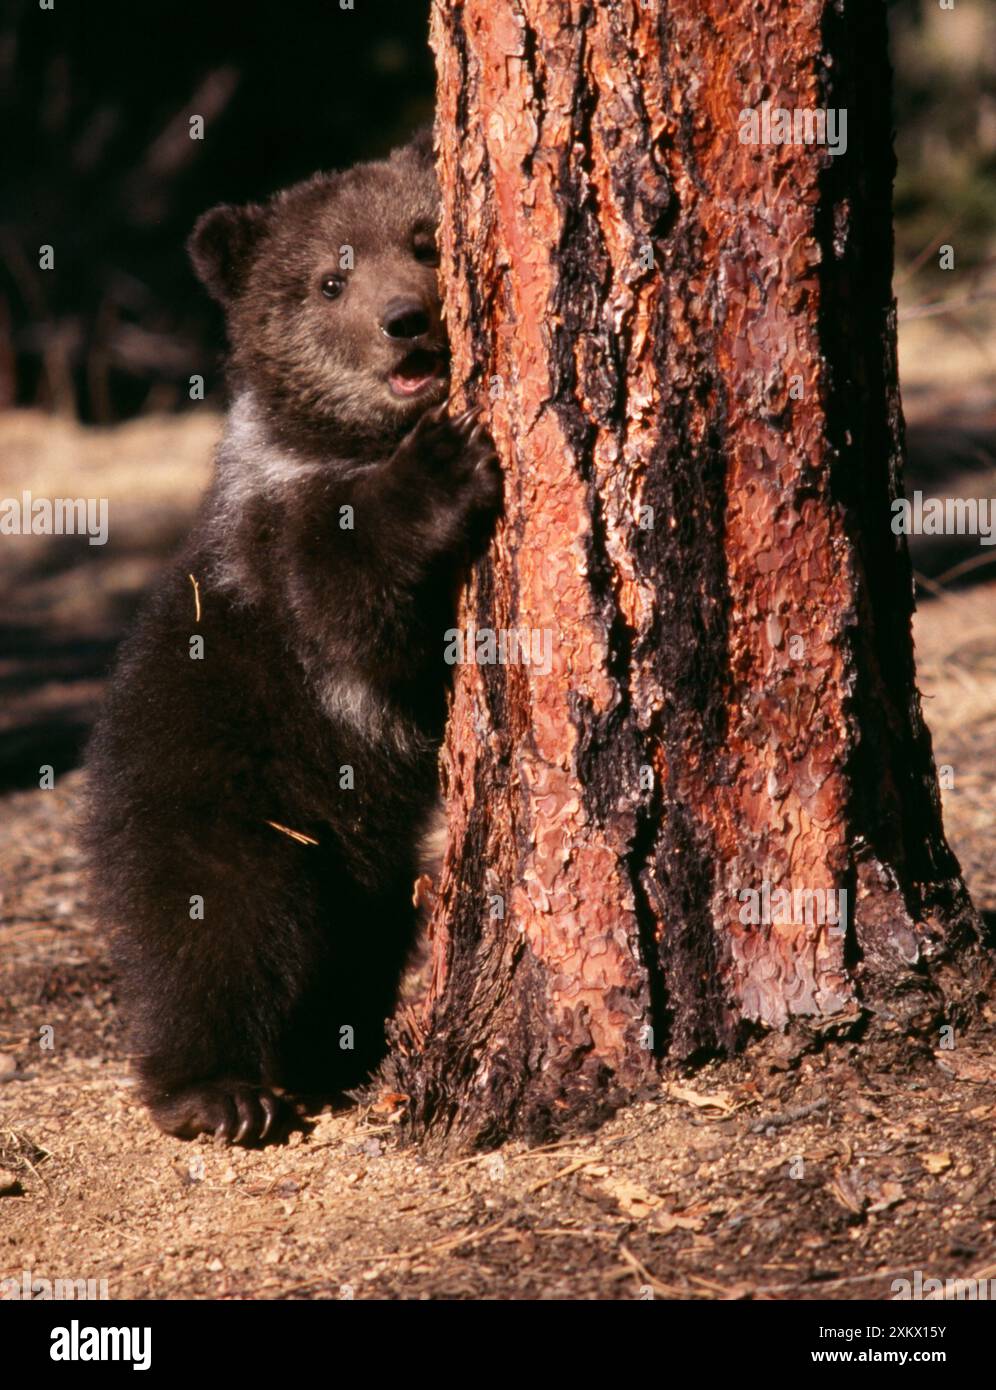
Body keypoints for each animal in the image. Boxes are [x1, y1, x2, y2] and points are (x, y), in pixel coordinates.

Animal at [81, 132, 500, 1145]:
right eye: (327, 282)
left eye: (423, 238)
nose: (404, 321)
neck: (340, 442)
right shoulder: (277, 555)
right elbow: (350, 600)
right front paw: (441, 463)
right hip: (220, 800)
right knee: (214, 933)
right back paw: (217, 1090)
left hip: (362, 858)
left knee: (357, 942)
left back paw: (334, 1055)